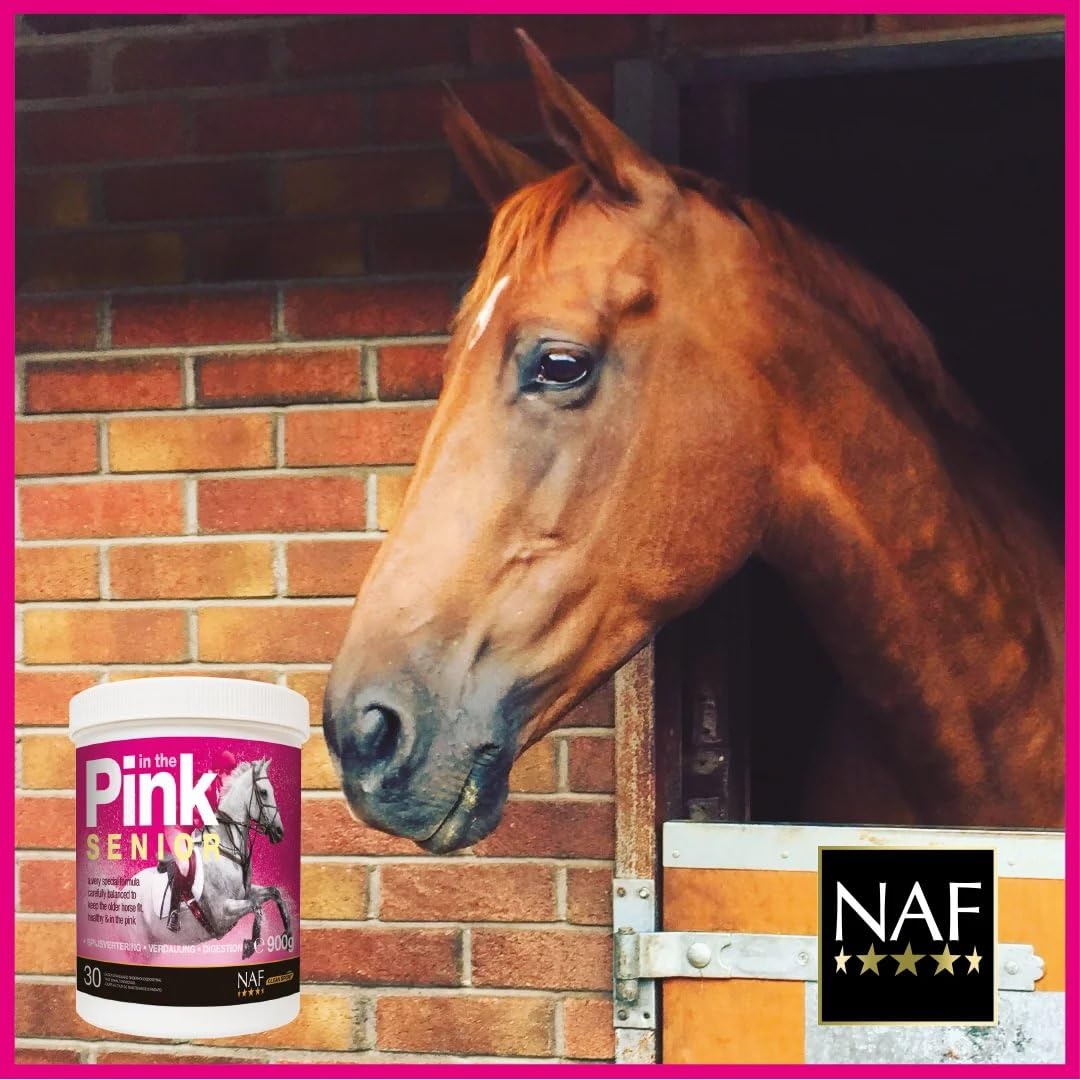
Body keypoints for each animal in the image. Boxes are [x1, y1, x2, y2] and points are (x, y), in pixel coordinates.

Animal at [128, 758, 291, 958]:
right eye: (263, 792)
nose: (279, 832)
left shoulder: (246, 893)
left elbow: (275, 893)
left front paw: (287, 935)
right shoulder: (222, 912)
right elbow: (257, 908)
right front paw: (250, 945)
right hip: (139, 946)